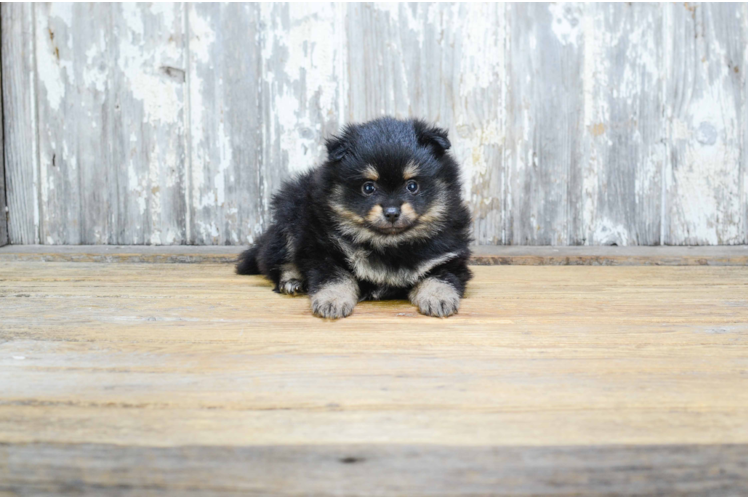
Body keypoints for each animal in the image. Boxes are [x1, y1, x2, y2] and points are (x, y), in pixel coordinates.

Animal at [238, 117, 474, 318]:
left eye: (412, 186)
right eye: (368, 187)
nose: (391, 212)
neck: (390, 245)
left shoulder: (447, 257)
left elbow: (439, 276)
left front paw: (437, 297)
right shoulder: (325, 251)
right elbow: (336, 276)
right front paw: (332, 300)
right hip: (291, 215)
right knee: (273, 259)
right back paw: (292, 280)